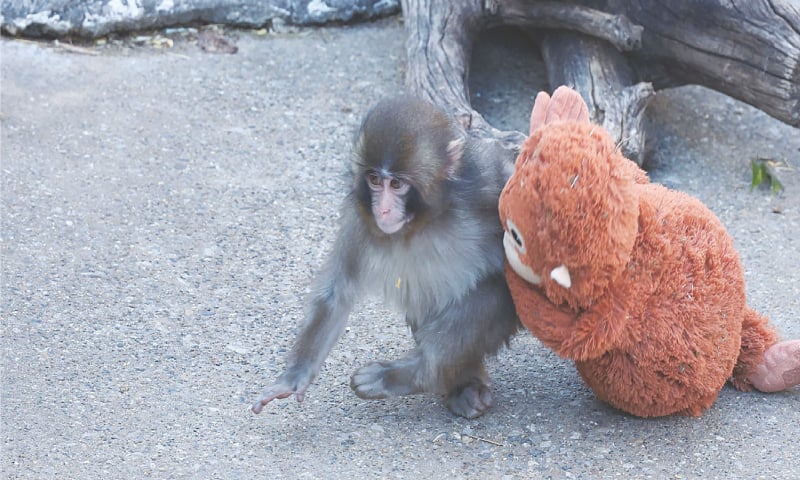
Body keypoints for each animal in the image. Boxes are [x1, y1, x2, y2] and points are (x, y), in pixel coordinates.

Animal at [251, 96, 520, 418]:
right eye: (375, 181)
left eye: (397, 184)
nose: (383, 210)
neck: (426, 220)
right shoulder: (359, 217)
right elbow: (337, 292)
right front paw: (294, 377)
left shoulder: (488, 183)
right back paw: (461, 384)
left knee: (492, 292)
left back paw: (412, 375)